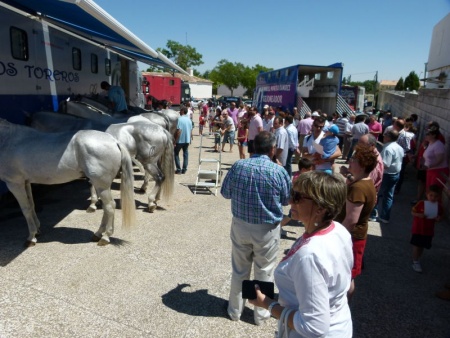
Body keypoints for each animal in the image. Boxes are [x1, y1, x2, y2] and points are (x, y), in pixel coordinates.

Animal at [0, 119, 135, 246]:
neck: (8, 140)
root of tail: (114, 141)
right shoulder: (26, 182)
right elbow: (32, 205)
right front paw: (37, 230)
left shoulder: (14, 184)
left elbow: (25, 209)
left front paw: (31, 237)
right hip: (102, 185)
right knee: (107, 208)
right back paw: (98, 234)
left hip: (101, 185)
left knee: (110, 206)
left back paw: (105, 237)